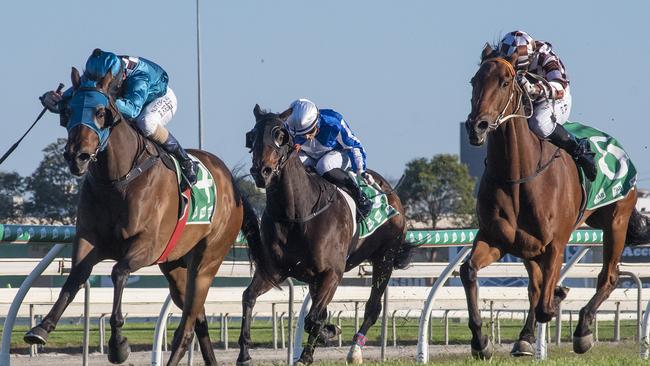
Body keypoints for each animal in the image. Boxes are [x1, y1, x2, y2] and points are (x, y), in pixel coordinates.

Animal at [23, 66, 260, 366]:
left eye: (100, 112)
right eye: (68, 111)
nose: (77, 156)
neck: (118, 180)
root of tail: (232, 183)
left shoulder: (148, 245)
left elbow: (118, 272)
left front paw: (118, 345)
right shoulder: (90, 240)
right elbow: (76, 276)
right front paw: (42, 327)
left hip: (207, 261)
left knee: (187, 327)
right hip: (175, 266)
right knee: (198, 319)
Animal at [235, 104, 412, 364]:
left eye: (280, 135)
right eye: (252, 135)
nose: (262, 171)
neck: (297, 214)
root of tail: (390, 191)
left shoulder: (332, 272)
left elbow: (313, 319)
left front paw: (324, 337)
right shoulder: (275, 270)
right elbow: (248, 297)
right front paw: (245, 353)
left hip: (385, 257)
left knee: (372, 308)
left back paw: (354, 351)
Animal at [460, 45, 648, 358]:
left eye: (505, 82)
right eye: (474, 81)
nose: (477, 127)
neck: (518, 176)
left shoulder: (555, 245)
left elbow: (546, 305)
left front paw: (562, 301)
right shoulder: (496, 238)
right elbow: (469, 272)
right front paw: (480, 341)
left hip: (616, 222)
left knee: (608, 276)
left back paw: (583, 330)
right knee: (535, 287)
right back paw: (525, 337)